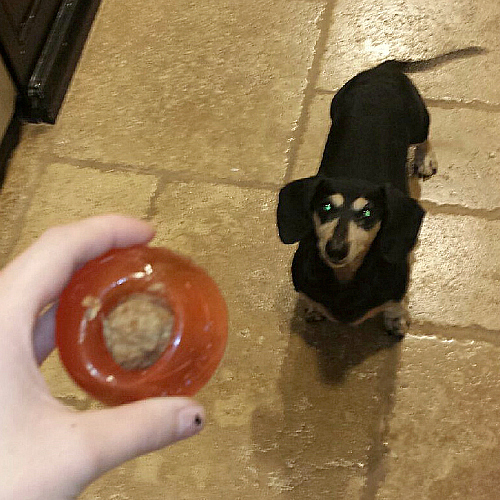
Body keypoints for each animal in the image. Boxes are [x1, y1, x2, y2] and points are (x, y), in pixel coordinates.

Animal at [278, 48, 484, 334]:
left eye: (368, 213)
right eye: (325, 207)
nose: (335, 250)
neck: (346, 279)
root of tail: (383, 69)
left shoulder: (398, 282)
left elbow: (396, 302)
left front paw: (396, 319)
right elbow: (309, 297)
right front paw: (312, 308)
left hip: (418, 119)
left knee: (425, 136)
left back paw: (424, 160)